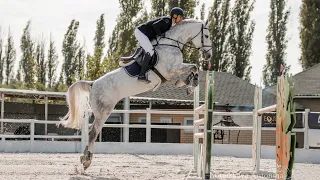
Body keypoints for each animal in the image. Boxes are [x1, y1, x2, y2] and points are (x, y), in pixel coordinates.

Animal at [59, 18, 212, 170]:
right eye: (206, 36)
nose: (209, 55)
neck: (172, 43)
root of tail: (93, 84)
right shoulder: (171, 70)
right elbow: (194, 66)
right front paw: (189, 85)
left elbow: (193, 68)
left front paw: (189, 83)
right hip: (103, 111)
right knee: (93, 132)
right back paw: (87, 160)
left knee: (92, 132)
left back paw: (84, 157)